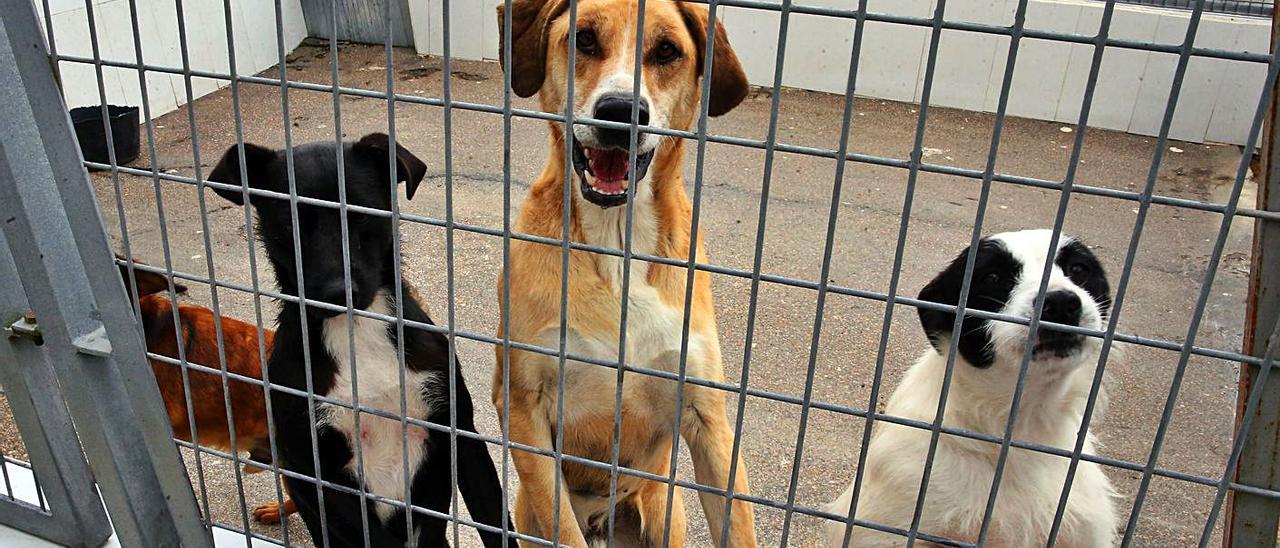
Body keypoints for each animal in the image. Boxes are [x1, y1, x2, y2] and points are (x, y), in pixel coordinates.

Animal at [209, 133, 514, 548]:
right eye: (289, 223)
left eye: (361, 212)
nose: (338, 292)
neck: (357, 332)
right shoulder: (322, 475)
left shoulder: (461, 434)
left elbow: (496, 520)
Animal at [488, 1, 747, 548]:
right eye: (584, 38)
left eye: (666, 50)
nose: (620, 112)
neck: (617, 239)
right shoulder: (522, 408)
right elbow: (562, 528)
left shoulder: (707, 417)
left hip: (664, 512)